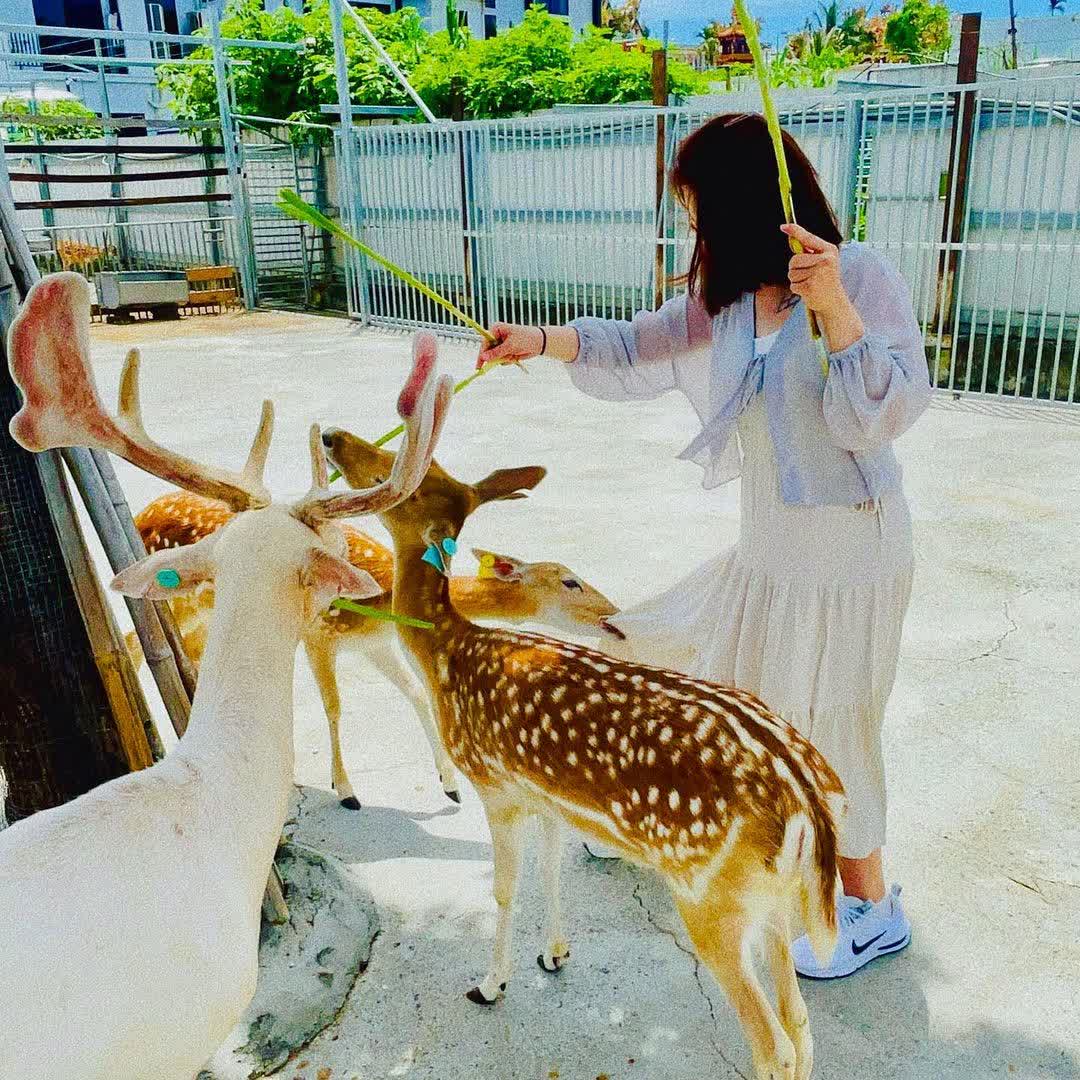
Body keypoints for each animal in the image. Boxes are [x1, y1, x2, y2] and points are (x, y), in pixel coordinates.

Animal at [126, 490, 622, 808]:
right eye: (570, 580)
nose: (612, 613)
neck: (383, 599)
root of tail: (141, 513)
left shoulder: (375, 645)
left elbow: (415, 693)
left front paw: (449, 784)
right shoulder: (320, 634)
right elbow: (334, 705)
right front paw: (346, 791)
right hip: (183, 605)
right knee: (148, 645)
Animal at [323, 384, 849, 1080]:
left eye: (403, 476)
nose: (330, 437)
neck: (451, 655)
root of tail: (808, 807)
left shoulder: (495, 784)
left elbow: (502, 890)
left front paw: (489, 985)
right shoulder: (548, 797)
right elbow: (550, 871)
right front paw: (554, 954)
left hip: (710, 895)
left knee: (773, 1043)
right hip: (770, 901)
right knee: (801, 1023)